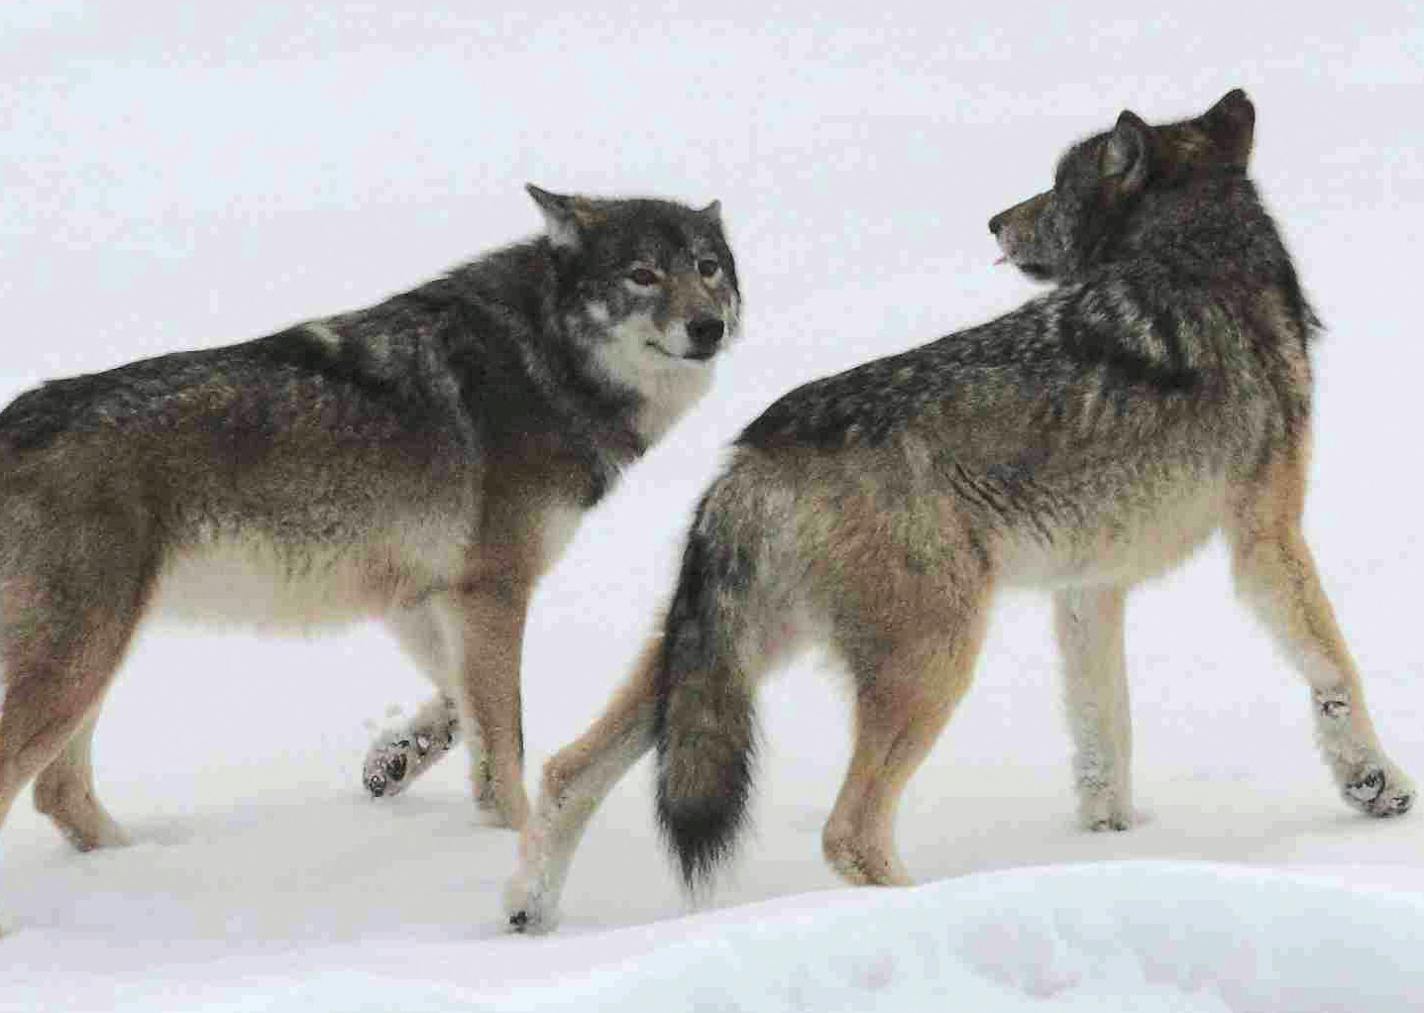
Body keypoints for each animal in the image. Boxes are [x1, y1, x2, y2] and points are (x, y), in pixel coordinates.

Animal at [0, 183, 740, 854]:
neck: (545, 356)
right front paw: (512, 839)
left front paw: (396, 760)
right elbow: (506, 738)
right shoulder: (494, 591)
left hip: (100, 657)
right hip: (83, 661)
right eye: (642, 274)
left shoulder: (417, 596)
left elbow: (461, 707)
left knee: (57, 791)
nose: (709, 326)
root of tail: (14, 422)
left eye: (707, 267)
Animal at [506, 91, 1406, 928]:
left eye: (1054, 186)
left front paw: (1114, 842)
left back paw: (527, 910)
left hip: (715, 663)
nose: (996, 219)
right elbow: (1337, 666)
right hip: (936, 660)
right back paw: (938, 909)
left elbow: (1103, 737)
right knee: (849, 832)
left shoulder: (1088, 588)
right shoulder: (1265, 537)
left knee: (566, 768)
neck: (1200, 257)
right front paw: (1376, 784)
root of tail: (752, 452)